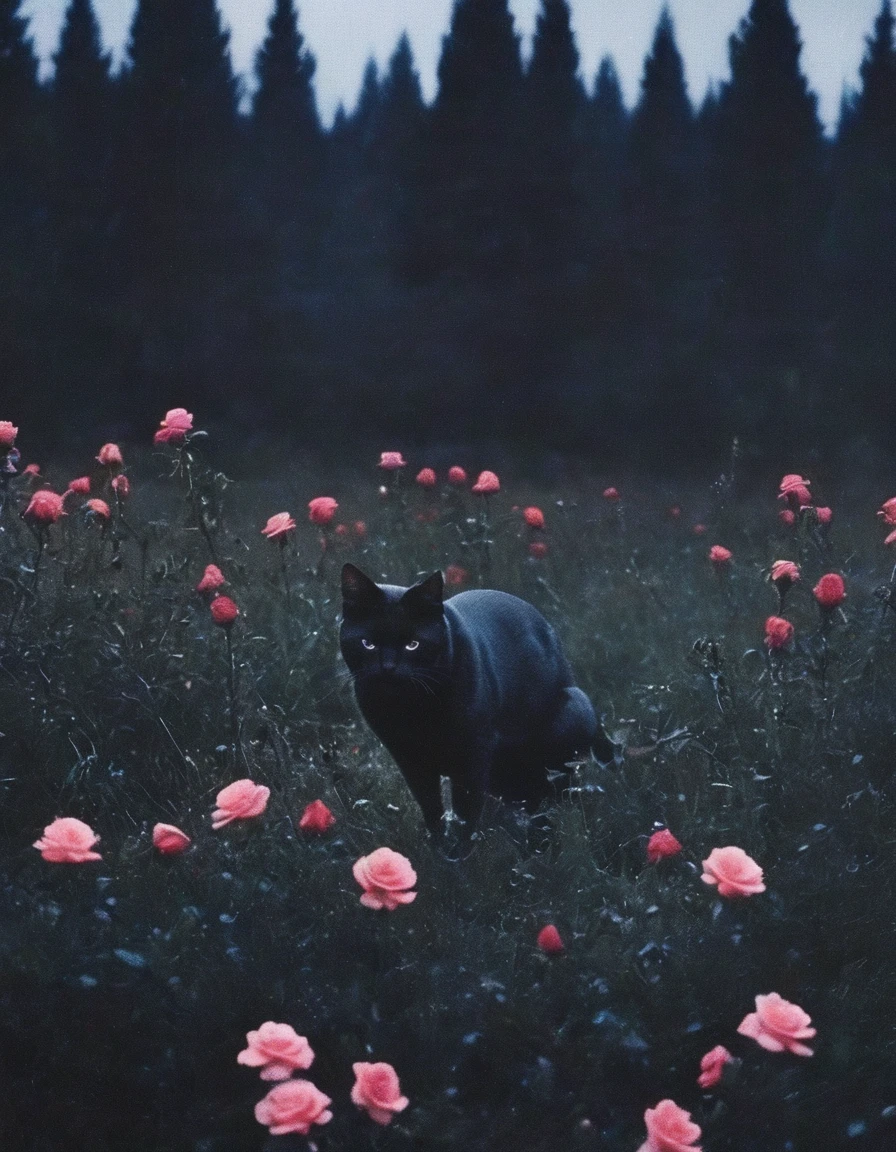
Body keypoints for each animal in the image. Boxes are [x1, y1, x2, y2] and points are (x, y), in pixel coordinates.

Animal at [338, 564, 612, 838]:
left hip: (572, 712)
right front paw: (438, 842)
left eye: (412, 645)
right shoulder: (408, 759)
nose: (388, 668)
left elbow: (465, 810)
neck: (411, 709)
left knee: (560, 787)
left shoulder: (473, 754)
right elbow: (431, 806)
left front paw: (460, 846)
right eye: (368, 644)